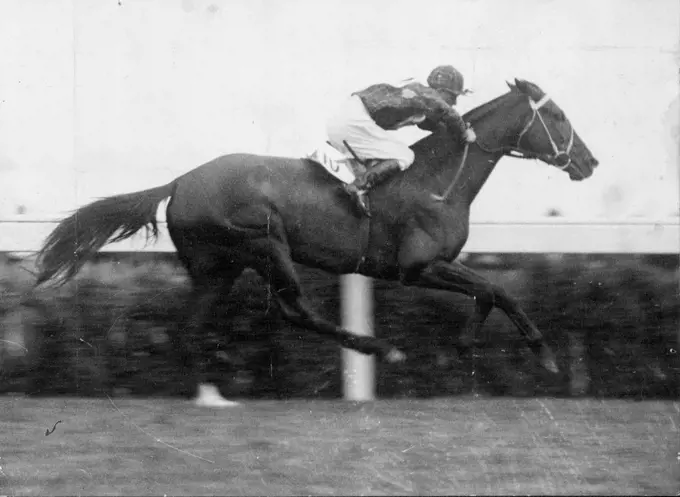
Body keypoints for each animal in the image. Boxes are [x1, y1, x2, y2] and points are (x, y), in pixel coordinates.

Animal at [34, 79, 596, 406]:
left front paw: (465, 351)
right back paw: (379, 348)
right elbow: (497, 290)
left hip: (218, 269)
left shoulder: (431, 267)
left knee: (191, 326)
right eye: (559, 117)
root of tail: (178, 182)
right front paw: (539, 355)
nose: (590, 162)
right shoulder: (417, 267)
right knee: (295, 311)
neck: (440, 179)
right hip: (265, 245)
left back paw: (212, 395)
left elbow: (490, 292)